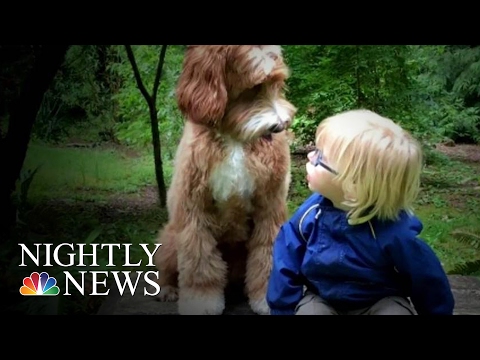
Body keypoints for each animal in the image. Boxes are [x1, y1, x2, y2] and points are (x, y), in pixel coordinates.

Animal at [154, 45, 296, 316]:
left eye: (277, 82)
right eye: (254, 86)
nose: (279, 127)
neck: (235, 137)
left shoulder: (270, 207)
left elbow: (267, 254)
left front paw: (268, 299)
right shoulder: (194, 210)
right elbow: (199, 262)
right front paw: (201, 302)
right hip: (170, 238)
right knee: (167, 269)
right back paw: (168, 289)